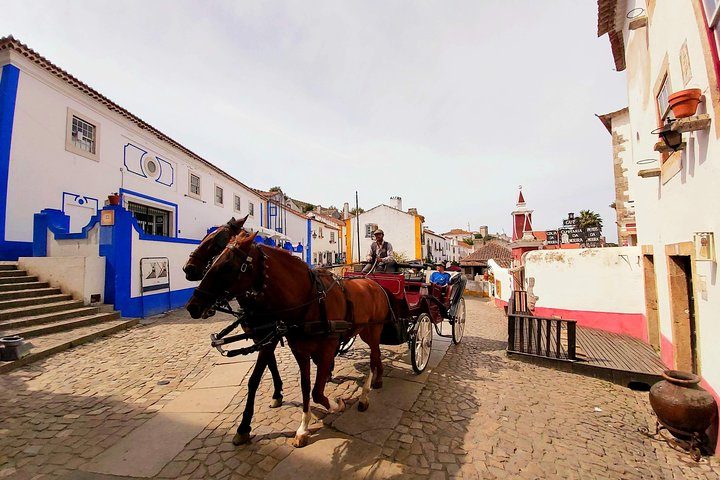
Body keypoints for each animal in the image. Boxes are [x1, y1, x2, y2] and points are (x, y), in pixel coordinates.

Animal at [181, 216, 286, 444]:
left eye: (216, 240)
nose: (187, 268)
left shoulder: (271, 337)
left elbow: (254, 379)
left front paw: (244, 426)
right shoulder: (262, 337)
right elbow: (271, 364)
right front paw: (277, 393)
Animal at [186, 231, 388, 448]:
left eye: (226, 265)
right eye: (214, 259)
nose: (192, 306)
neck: (309, 301)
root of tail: (372, 282)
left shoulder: (323, 348)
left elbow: (316, 392)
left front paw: (337, 404)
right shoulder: (296, 349)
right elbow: (306, 386)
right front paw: (302, 428)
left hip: (372, 331)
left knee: (374, 358)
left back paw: (366, 394)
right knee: (375, 356)